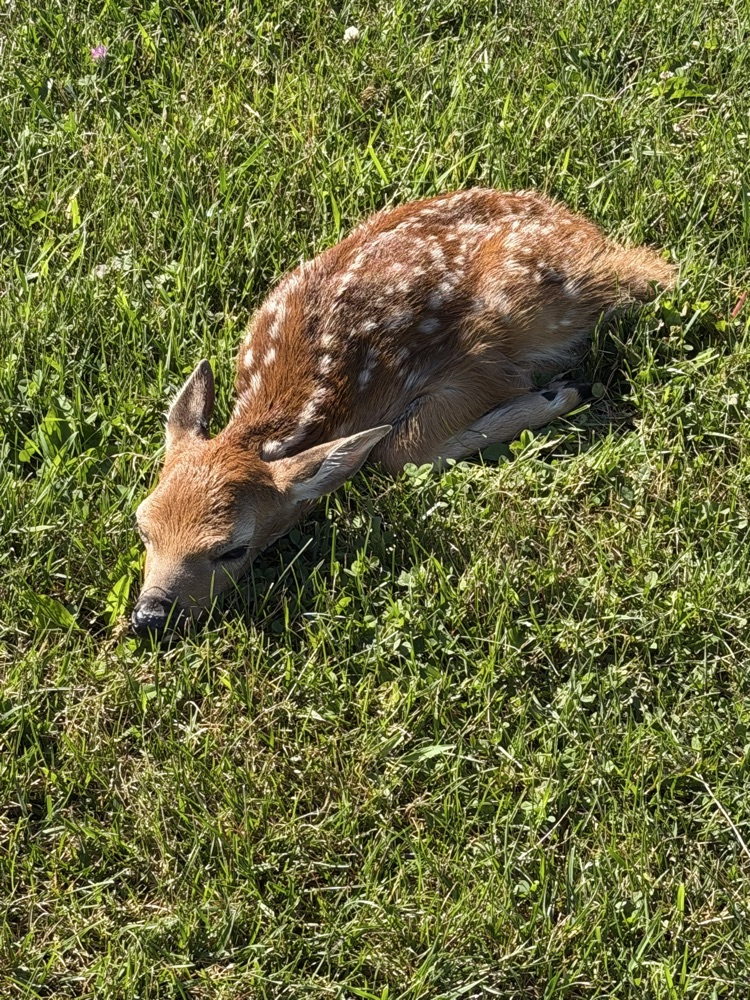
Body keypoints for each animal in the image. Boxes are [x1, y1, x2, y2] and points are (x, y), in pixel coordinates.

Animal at [131, 187, 674, 637]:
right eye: (143, 526)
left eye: (232, 549)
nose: (149, 616)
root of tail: (591, 235)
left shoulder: (482, 361)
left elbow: (397, 450)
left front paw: (559, 395)